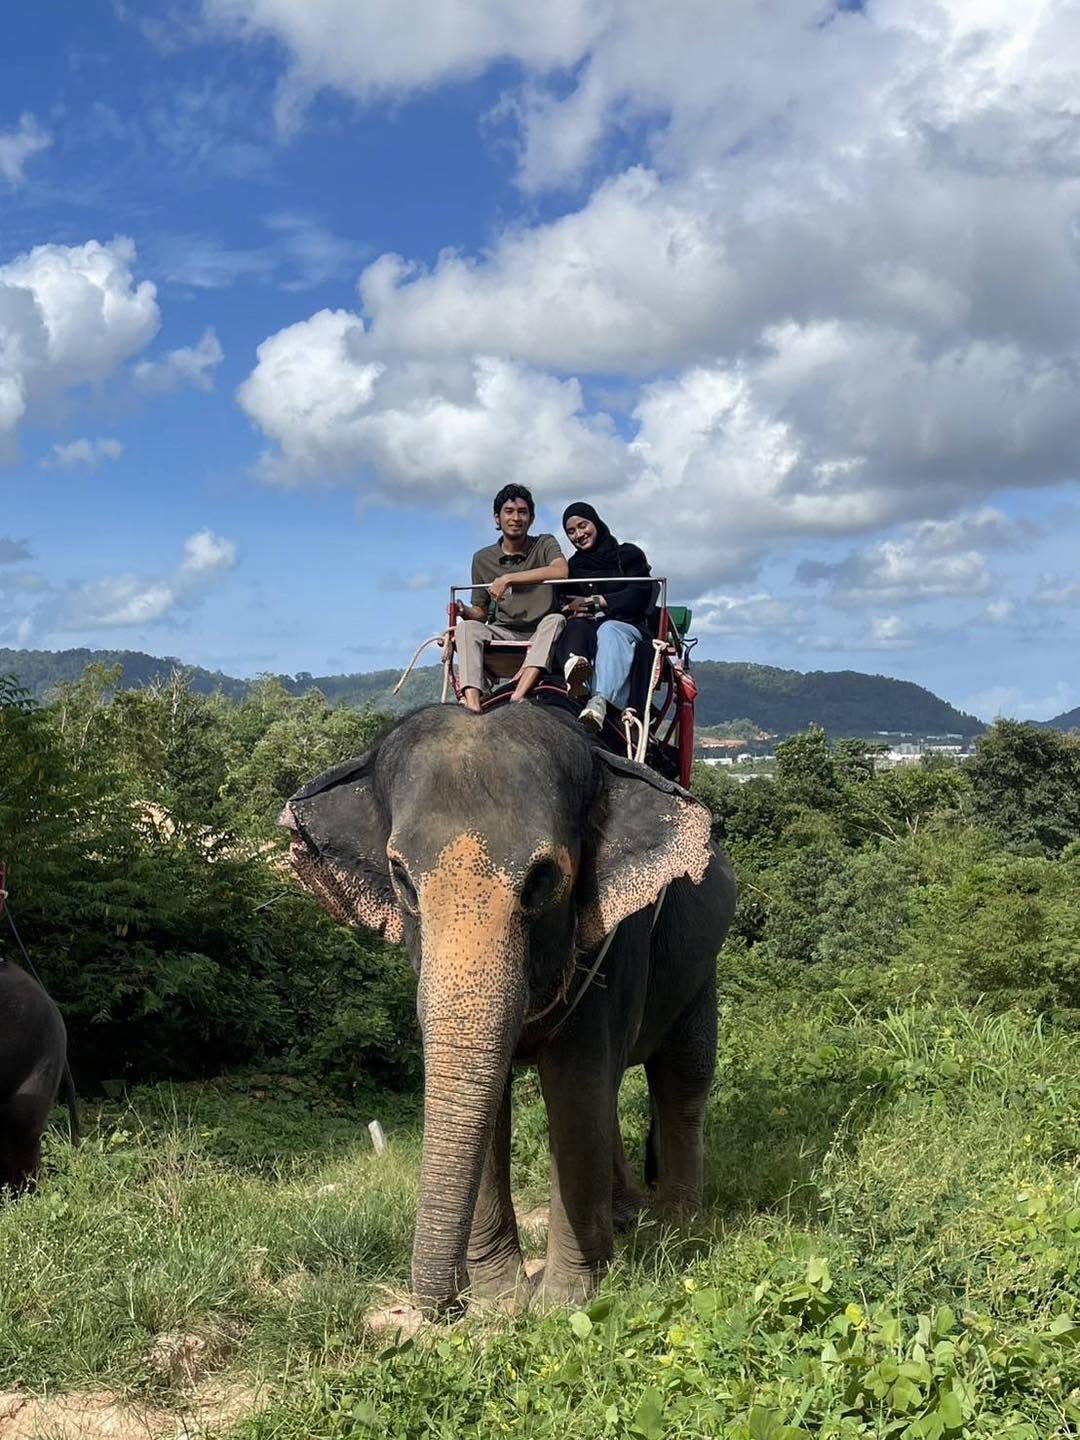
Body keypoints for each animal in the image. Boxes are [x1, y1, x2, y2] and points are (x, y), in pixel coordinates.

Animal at [281, 702, 736, 1312]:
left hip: (700, 968)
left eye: (543, 880)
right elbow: (498, 1096)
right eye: (401, 878)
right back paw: (626, 1220)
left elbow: (577, 1085)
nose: (450, 1305)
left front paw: (562, 1304)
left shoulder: (617, 940)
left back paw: (676, 1226)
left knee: (682, 1077)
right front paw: (500, 1305)